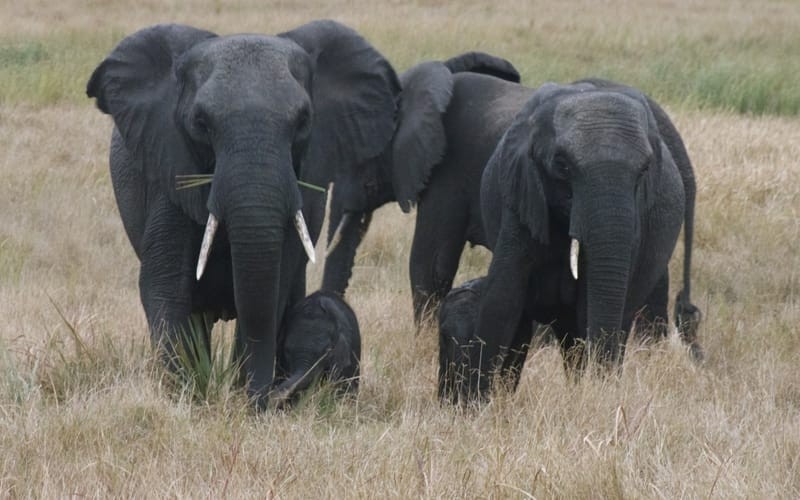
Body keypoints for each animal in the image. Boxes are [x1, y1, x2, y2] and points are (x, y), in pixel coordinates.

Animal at [86, 21, 398, 408]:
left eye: (304, 120)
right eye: (201, 122)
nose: (262, 401)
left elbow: (273, 288)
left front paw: (238, 398)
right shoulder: (170, 166)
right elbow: (167, 284)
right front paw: (187, 399)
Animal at [468, 78, 708, 398]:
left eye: (645, 170)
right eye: (562, 165)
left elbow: (589, 308)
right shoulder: (523, 195)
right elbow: (503, 296)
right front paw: (479, 400)